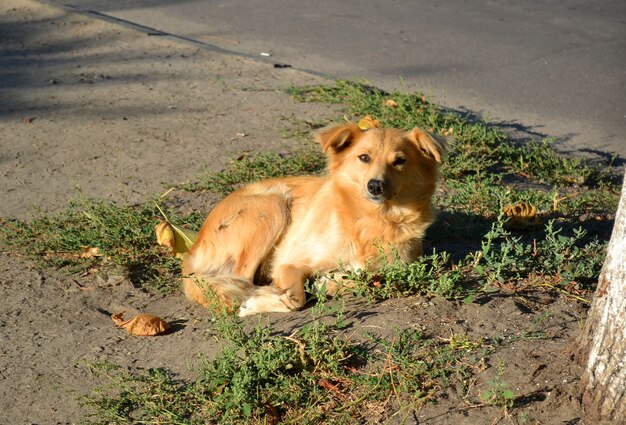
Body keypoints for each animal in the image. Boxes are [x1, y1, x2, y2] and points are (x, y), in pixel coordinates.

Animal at [180, 120, 444, 314]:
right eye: (364, 157)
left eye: (400, 161)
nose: (375, 186)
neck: (372, 219)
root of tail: (192, 252)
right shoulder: (289, 263)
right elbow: (296, 298)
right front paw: (259, 302)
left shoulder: (399, 264)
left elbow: (364, 275)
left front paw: (329, 282)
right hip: (274, 206)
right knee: (241, 279)